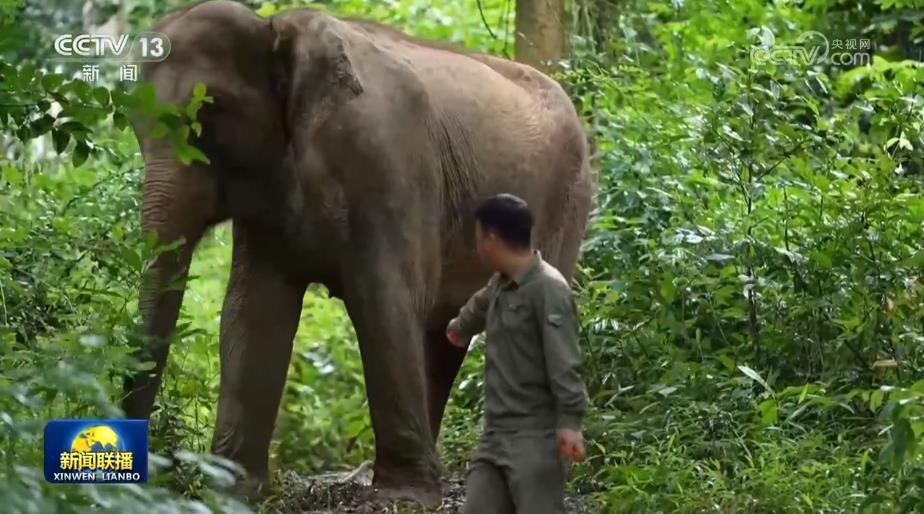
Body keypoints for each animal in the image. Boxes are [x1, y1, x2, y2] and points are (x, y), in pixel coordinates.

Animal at [123, 0, 593, 506]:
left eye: (209, 113)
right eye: (135, 130)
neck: (273, 26)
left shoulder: (388, 161)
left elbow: (383, 300)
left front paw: (403, 497)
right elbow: (253, 312)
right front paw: (234, 492)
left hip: (569, 200)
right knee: (444, 334)